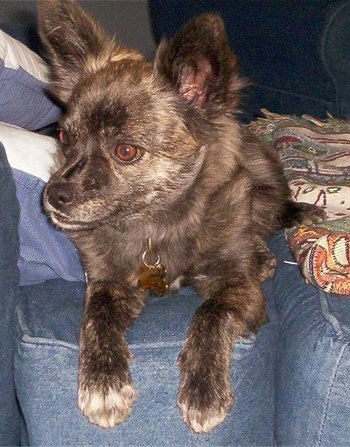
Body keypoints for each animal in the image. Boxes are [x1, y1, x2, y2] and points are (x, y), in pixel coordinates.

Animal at [37, 0, 322, 434]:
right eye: (65, 137)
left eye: (125, 151)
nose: (54, 196)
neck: (157, 223)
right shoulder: (107, 282)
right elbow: (95, 317)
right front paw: (104, 383)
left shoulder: (241, 287)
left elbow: (211, 313)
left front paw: (204, 391)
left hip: (262, 169)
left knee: (268, 211)